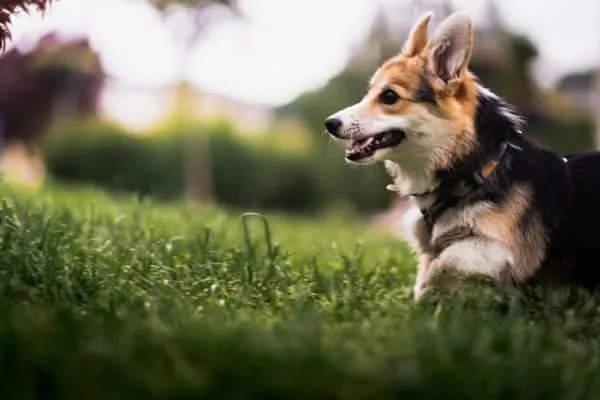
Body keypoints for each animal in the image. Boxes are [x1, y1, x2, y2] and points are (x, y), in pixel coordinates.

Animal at [326, 11, 600, 300]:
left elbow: (445, 260)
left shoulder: (503, 248)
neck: (478, 168)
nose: (329, 123)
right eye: (369, 92)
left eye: (389, 96)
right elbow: (432, 261)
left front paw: (427, 293)